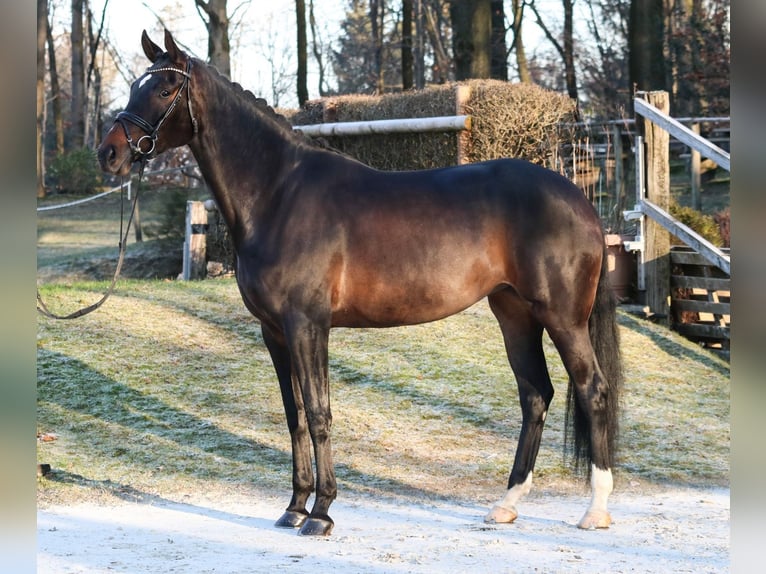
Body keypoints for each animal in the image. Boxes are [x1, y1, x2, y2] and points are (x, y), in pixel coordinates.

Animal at [97, 29, 624, 536]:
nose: (110, 152)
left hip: (562, 318)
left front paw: (322, 513)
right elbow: (294, 416)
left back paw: (596, 510)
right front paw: (293, 507)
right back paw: (507, 504)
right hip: (513, 313)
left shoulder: (308, 324)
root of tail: (580, 200)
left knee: (593, 389)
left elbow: (319, 412)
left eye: (165, 88)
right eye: (135, 85)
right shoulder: (274, 331)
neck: (278, 193)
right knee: (535, 395)